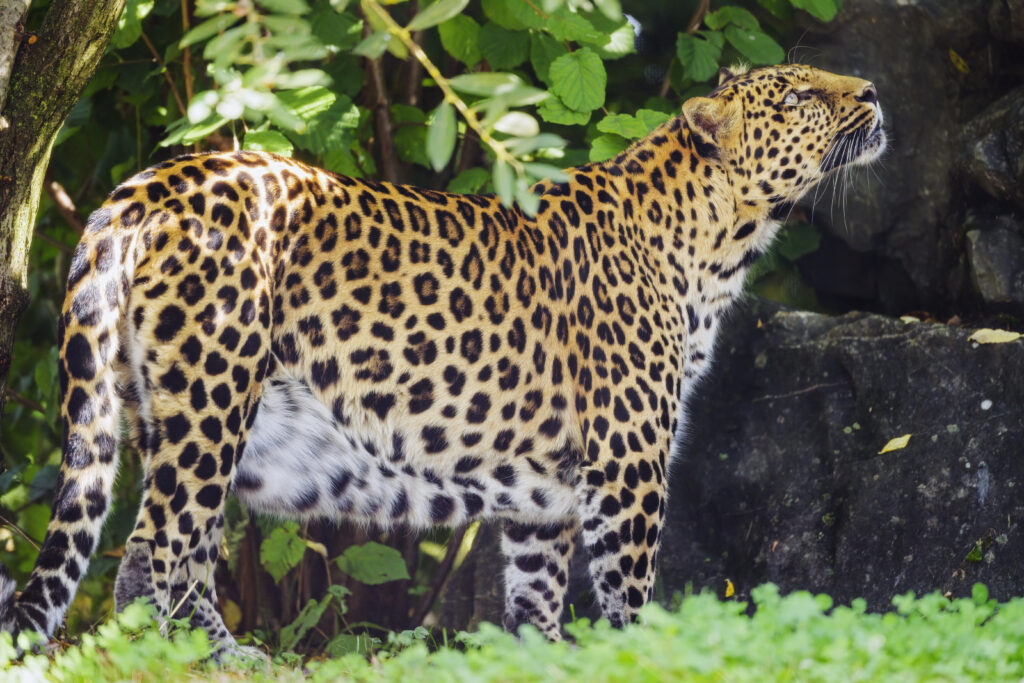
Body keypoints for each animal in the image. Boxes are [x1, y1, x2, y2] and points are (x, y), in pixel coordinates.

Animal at [0, 63, 885, 654]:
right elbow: (630, 592)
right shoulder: (627, 463)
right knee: (164, 550)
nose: (873, 92)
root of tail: (149, 183)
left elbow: (536, 595)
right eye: (800, 97)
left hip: (158, 408)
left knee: (148, 554)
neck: (720, 239)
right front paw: (651, 659)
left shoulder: (545, 487)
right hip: (212, 402)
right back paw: (223, 657)